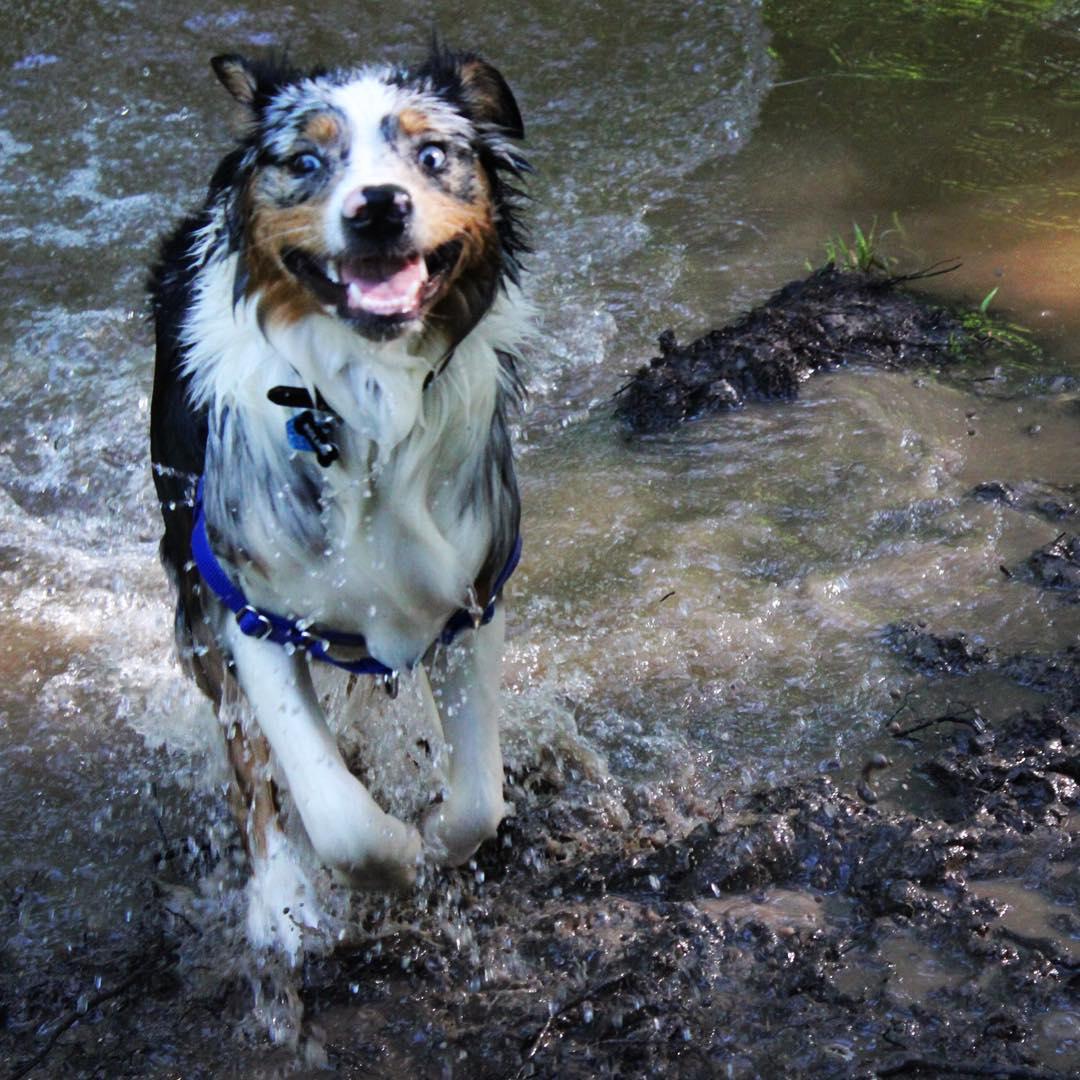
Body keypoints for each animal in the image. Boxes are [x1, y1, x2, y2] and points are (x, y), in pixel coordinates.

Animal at [148, 47, 530, 957]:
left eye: (432, 154)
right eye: (305, 160)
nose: (379, 207)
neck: (368, 401)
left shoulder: (472, 591)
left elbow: (478, 797)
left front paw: (435, 839)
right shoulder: (249, 609)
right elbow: (331, 810)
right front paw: (381, 865)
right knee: (251, 767)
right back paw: (280, 897)